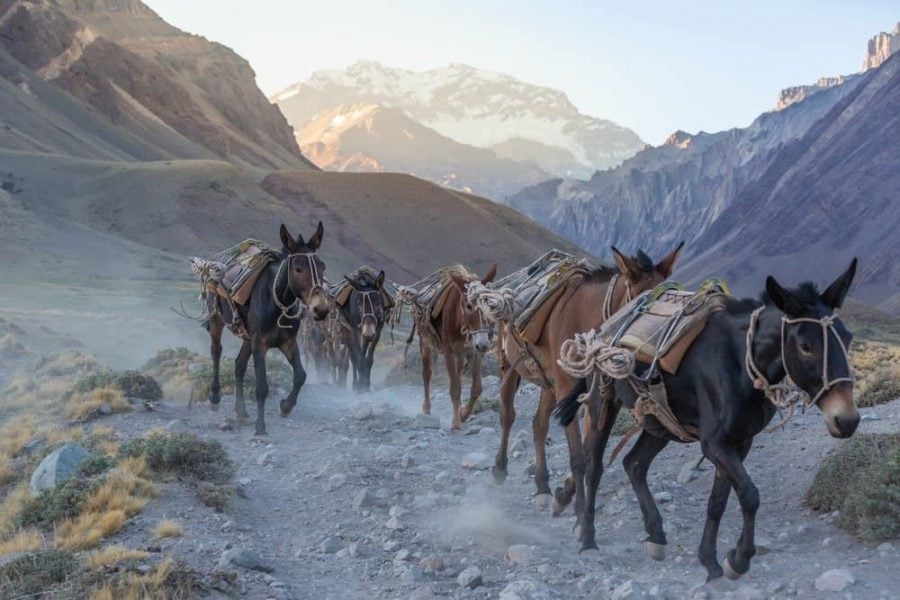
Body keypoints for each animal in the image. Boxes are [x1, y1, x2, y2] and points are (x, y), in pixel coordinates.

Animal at [205, 223, 329, 435]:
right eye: (298, 269)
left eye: (322, 266)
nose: (320, 309)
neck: (277, 302)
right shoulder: (260, 344)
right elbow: (262, 386)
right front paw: (260, 426)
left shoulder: (288, 342)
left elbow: (300, 376)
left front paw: (285, 407)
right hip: (217, 320)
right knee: (216, 351)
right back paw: (215, 397)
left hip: (247, 337)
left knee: (239, 365)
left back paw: (241, 411)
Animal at [415, 264, 497, 430]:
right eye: (468, 306)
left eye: (488, 303)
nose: (484, 345)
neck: (460, 321)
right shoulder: (449, 352)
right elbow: (454, 389)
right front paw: (456, 422)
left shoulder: (473, 352)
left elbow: (476, 389)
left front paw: (463, 413)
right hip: (426, 344)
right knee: (427, 374)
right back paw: (426, 407)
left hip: (461, 355)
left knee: (458, 375)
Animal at [475, 245, 683, 535]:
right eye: (643, 303)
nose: (656, 365)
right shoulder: (568, 391)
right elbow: (577, 456)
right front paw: (578, 514)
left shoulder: (597, 397)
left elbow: (586, 451)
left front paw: (564, 497)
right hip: (510, 366)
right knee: (507, 415)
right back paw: (500, 469)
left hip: (548, 383)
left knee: (539, 424)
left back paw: (542, 486)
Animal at [555, 260, 860, 580]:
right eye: (805, 346)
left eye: (848, 338)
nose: (847, 420)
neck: (741, 363)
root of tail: (602, 329)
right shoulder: (714, 443)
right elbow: (750, 494)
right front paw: (739, 559)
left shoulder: (739, 441)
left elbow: (719, 501)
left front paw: (711, 562)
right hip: (603, 403)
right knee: (594, 465)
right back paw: (587, 536)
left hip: (660, 420)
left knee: (634, 463)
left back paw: (656, 535)